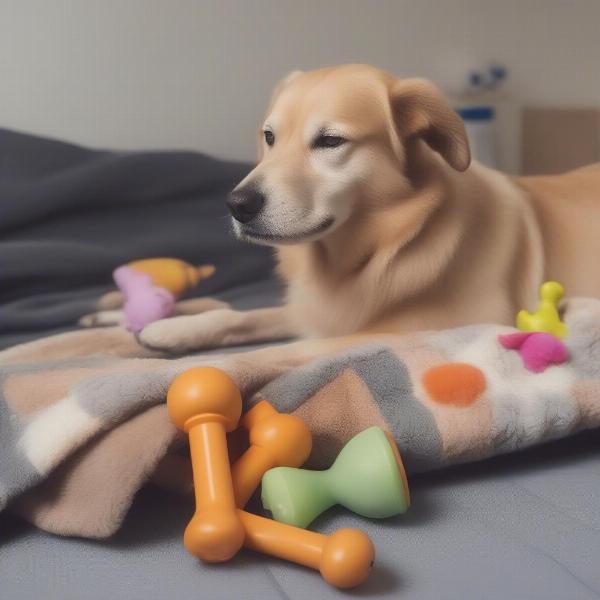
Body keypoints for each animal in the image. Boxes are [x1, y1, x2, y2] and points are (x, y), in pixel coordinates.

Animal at [83, 64, 600, 366]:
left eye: (330, 141)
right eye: (269, 137)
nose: (237, 205)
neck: (374, 253)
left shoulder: (439, 327)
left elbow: (284, 350)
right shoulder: (314, 306)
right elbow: (241, 316)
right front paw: (172, 328)